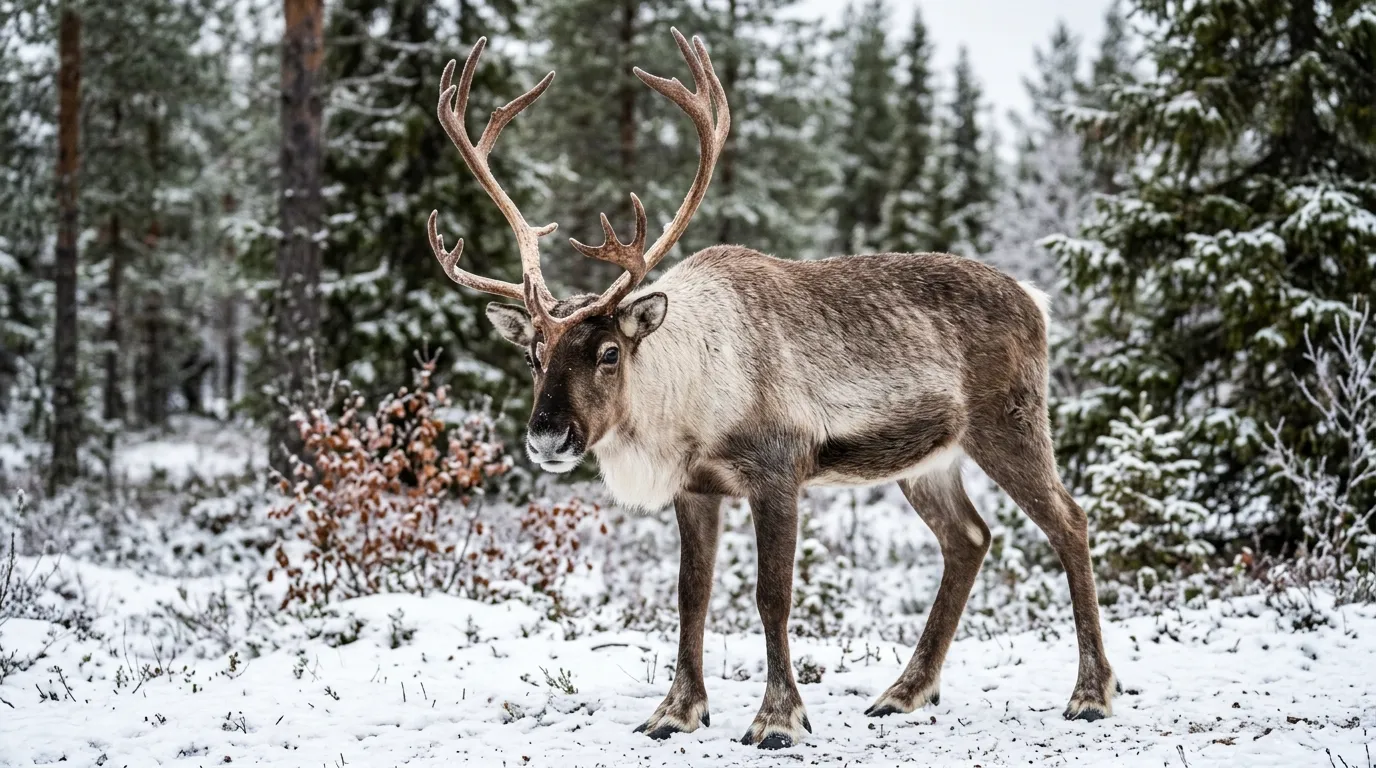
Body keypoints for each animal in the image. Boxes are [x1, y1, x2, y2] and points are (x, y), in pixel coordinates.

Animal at [425, 30, 1117, 750]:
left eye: (609, 352)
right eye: (535, 354)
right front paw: (675, 711)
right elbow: (691, 595)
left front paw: (778, 718)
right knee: (969, 538)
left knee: (1070, 521)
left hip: (1009, 423)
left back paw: (1090, 694)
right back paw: (902, 692)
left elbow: (771, 596)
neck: (689, 400)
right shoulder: (697, 489)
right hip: (928, 460)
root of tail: (1037, 300)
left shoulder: (778, 470)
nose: (547, 437)